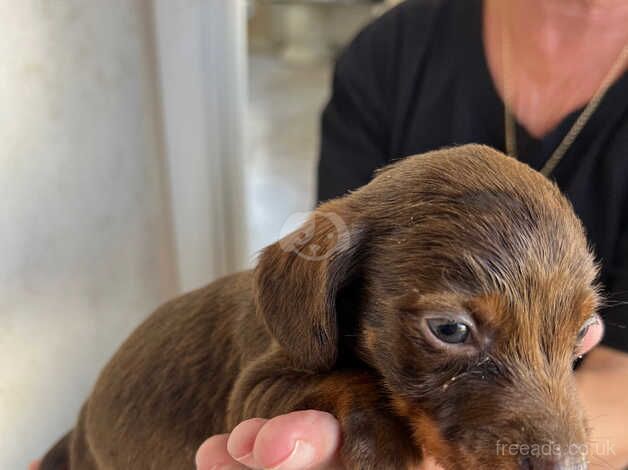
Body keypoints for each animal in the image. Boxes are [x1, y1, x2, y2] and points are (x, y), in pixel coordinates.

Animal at [39, 145, 600, 468]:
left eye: (582, 333)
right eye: (449, 330)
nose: (568, 469)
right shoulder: (255, 389)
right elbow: (346, 378)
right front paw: (381, 445)